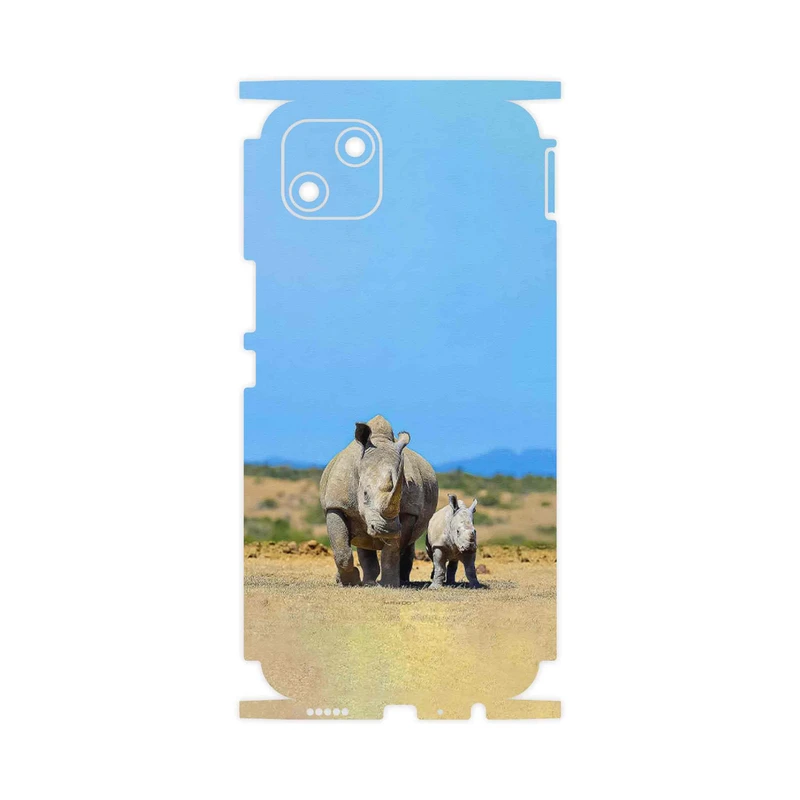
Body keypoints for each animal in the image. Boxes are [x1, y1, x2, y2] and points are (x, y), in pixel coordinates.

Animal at [319, 415, 439, 587]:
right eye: (365, 494)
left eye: (400, 495)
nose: (386, 530)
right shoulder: (336, 504)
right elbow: (341, 549)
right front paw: (349, 582)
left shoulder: (408, 512)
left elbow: (392, 550)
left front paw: (390, 584)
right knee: (362, 541)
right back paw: (366, 582)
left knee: (407, 543)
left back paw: (400, 581)